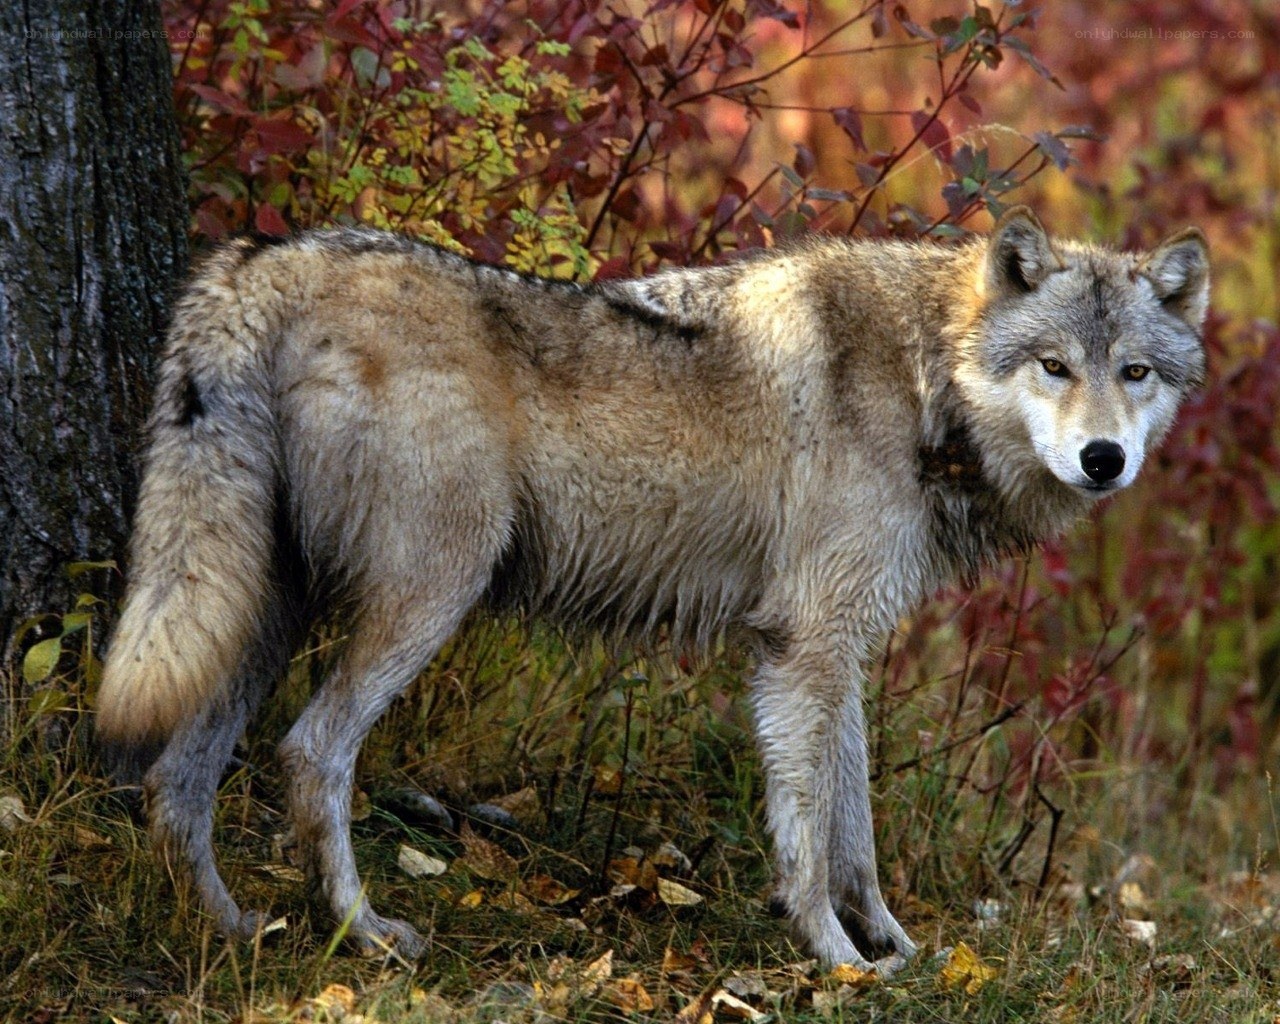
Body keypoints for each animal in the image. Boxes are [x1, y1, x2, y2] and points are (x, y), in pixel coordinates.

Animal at [96, 207, 1208, 969]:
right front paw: (836, 960)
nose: (1103, 460)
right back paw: (362, 934)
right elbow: (810, 840)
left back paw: (227, 927)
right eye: (1054, 366)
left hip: (260, 612)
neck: (924, 378)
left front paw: (893, 948)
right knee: (310, 751)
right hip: (424, 598)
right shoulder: (804, 648)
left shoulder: (832, 649)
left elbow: (853, 828)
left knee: (175, 780)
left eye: (1136, 373)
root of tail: (267, 258)